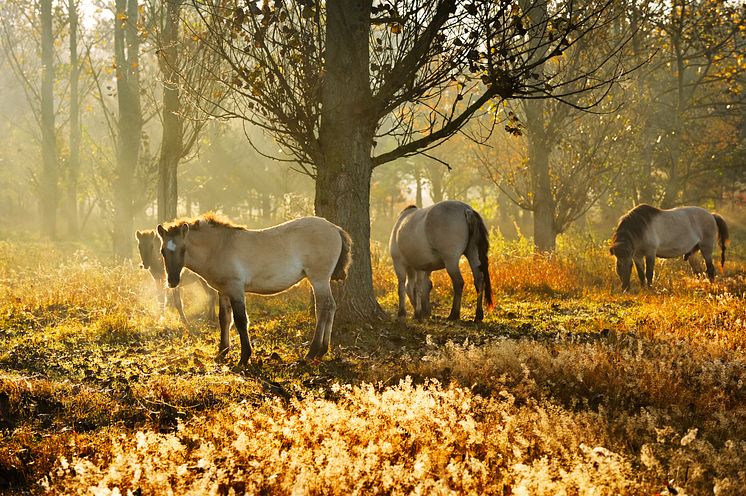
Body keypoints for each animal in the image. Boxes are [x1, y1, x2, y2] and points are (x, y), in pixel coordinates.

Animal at [155, 211, 352, 366]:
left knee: (324, 308)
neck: (220, 247)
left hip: (319, 279)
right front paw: (222, 352)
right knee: (330, 307)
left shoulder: (235, 288)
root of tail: (334, 228)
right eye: (162, 251)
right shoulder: (223, 291)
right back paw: (322, 350)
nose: (172, 281)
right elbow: (224, 319)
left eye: (183, 249)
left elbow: (241, 321)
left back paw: (312, 352)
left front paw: (244, 358)